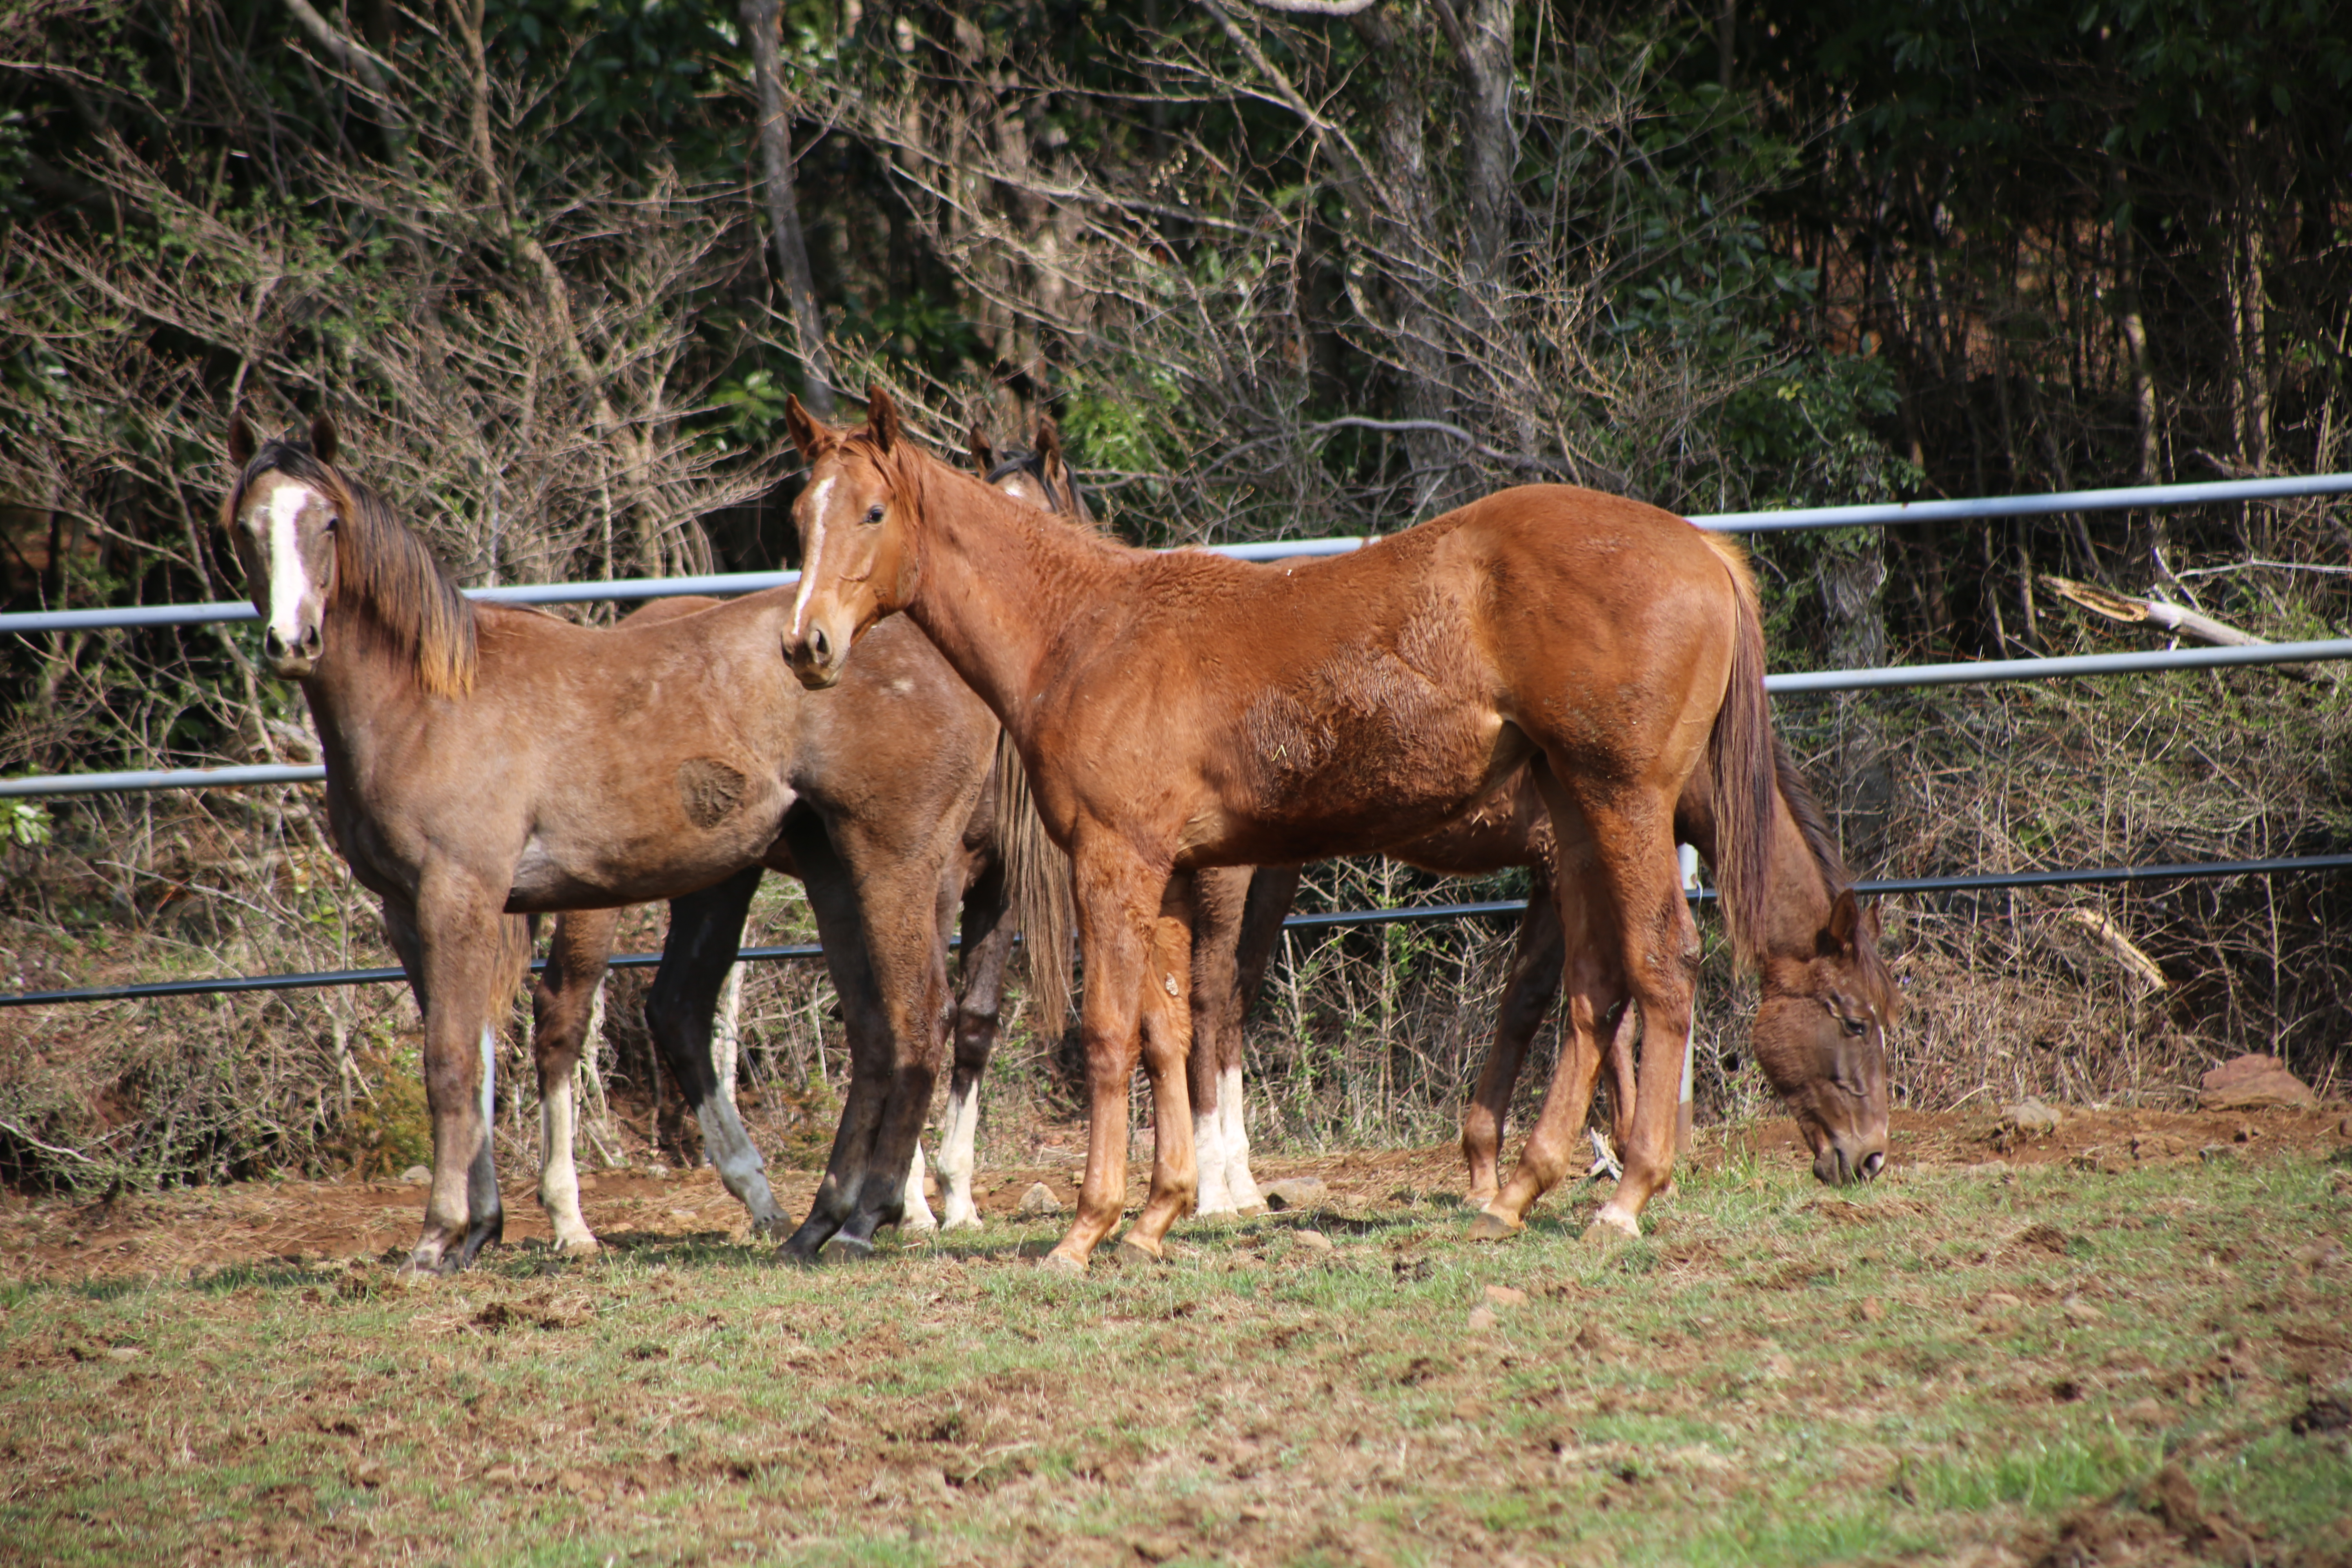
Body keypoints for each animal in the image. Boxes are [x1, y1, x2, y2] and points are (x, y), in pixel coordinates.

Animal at [221, 411, 1068, 1269]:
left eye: (328, 523)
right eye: (246, 527)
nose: (292, 641)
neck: (429, 698)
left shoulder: (457, 896)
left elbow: (452, 1063)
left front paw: (437, 1239)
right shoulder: (411, 910)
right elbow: (475, 1057)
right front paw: (478, 1228)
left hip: (898, 865)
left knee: (920, 1017)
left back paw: (871, 1217)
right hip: (830, 871)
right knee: (862, 1030)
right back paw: (816, 1221)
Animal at [771, 390, 1891, 1278]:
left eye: (873, 511)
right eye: (799, 515)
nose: (805, 643)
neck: (1085, 628)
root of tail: (1703, 548)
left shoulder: (1114, 860)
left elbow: (1108, 1035)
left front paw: (1088, 1230)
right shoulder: (1171, 874)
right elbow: (1169, 1031)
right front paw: (1162, 1212)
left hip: (1621, 804)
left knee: (1660, 966)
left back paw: (1621, 1199)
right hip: (1581, 819)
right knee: (1595, 986)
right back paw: (1525, 1193)